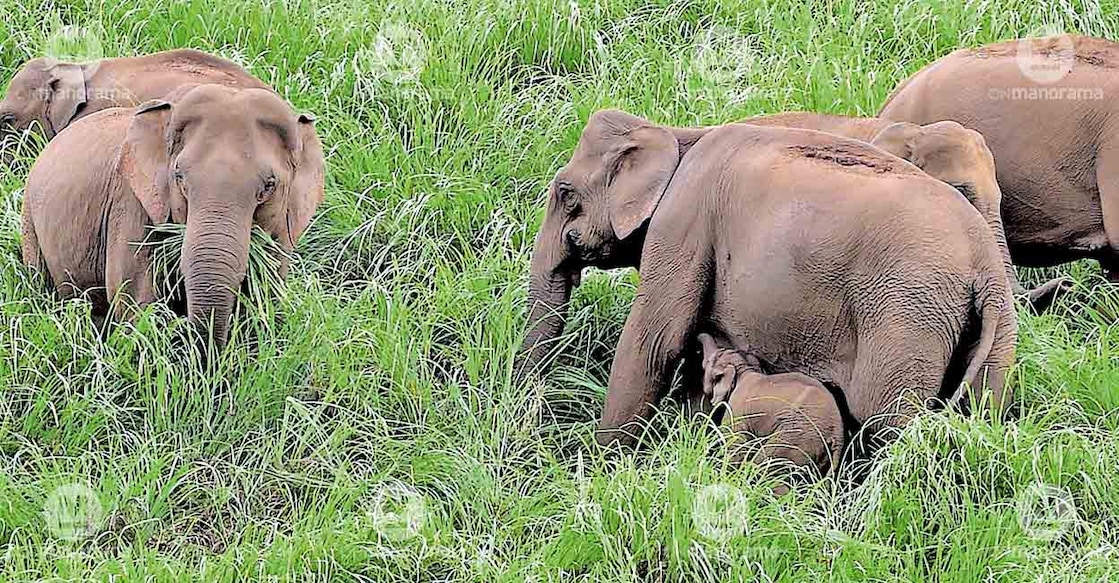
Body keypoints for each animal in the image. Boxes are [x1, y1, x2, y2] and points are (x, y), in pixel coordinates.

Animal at [22, 84, 324, 345]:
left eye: (269, 186)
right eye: (179, 176)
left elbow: (266, 299)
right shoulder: (131, 203)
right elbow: (136, 300)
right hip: (29, 220)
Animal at [522, 110, 1016, 448]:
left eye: (566, 194)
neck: (676, 134)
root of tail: (986, 268)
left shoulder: (684, 220)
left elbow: (656, 340)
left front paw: (604, 466)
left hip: (907, 313)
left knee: (887, 419)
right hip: (991, 334)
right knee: (981, 407)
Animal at [699, 333, 845, 488]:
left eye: (705, 365)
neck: (744, 369)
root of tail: (837, 431)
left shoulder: (736, 410)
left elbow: (735, 442)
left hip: (796, 437)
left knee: (766, 468)